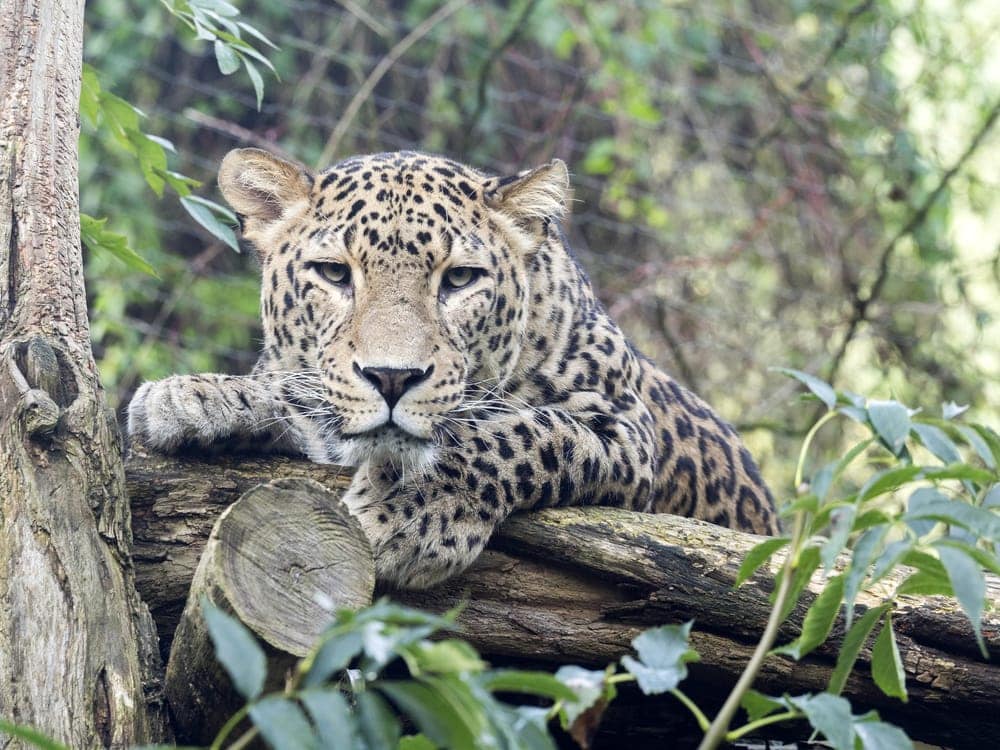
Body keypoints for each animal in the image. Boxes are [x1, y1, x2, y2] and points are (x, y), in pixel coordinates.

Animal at [127, 147, 780, 589]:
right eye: (334, 273)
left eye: (460, 279)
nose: (392, 378)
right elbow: (295, 391)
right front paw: (194, 396)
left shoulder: (623, 431)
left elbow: (521, 433)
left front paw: (410, 512)